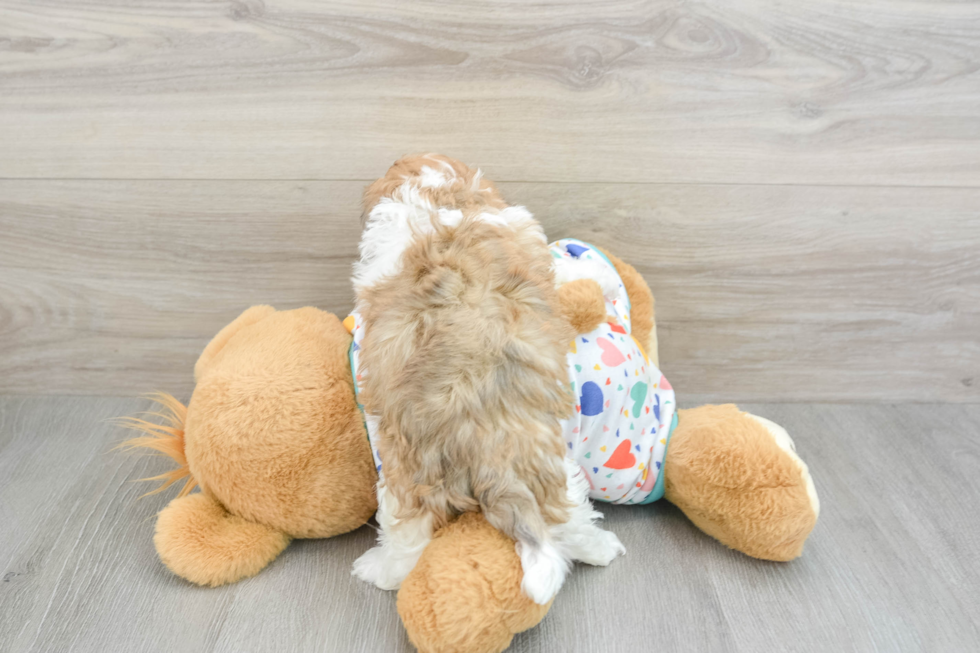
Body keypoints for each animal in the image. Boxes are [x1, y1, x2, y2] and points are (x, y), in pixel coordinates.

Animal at [346, 154, 620, 600]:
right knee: (566, 520)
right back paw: (601, 548)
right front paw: (601, 274)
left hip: (408, 475)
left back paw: (379, 570)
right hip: (548, 466)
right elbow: (566, 271)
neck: (440, 200)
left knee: (407, 536)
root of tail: (479, 445)